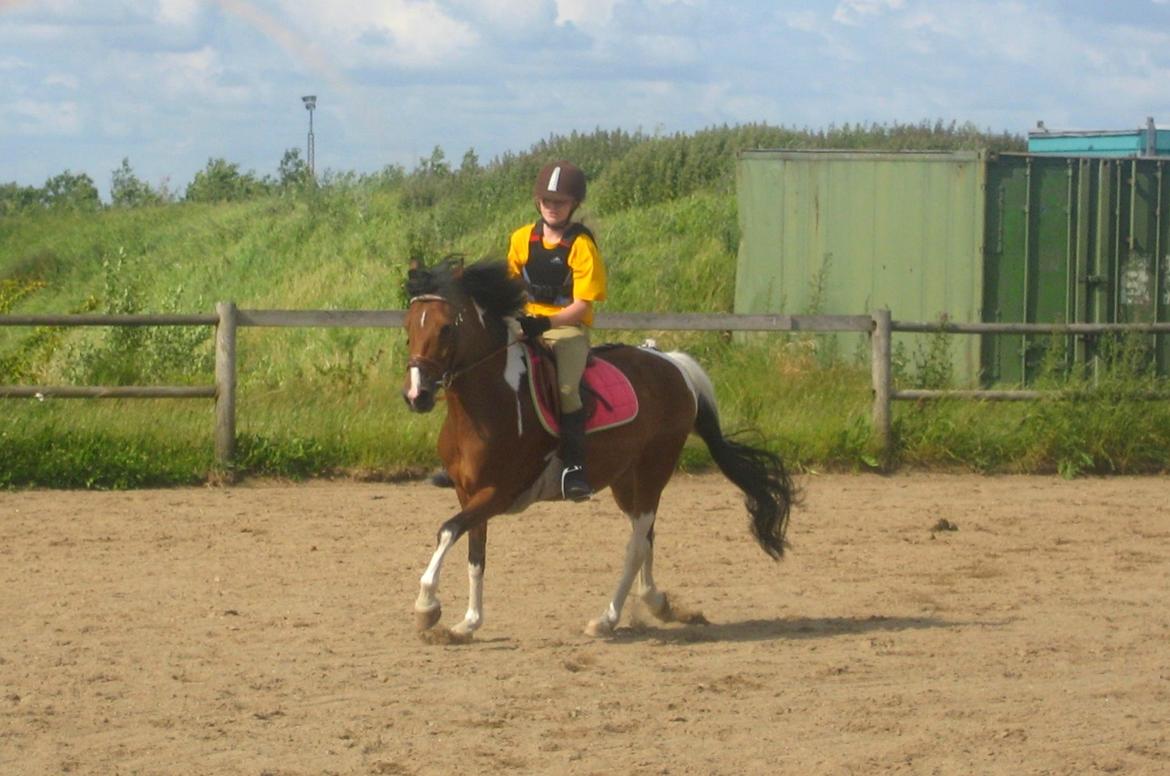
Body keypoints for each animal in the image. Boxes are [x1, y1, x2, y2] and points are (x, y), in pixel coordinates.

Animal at [402, 257, 795, 641]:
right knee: (646, 537)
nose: (416, 396)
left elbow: (448, 530)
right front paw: (468, 623)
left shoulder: (499, 492)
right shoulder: (468, 493)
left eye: (446, 328)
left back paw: (607, 619)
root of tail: (673, 363)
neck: (486, 403)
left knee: (636, 545)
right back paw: (658, 603)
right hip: (625, 480)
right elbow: (475, 553)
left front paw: (426, 607)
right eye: (408, 328)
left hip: (654, 469)